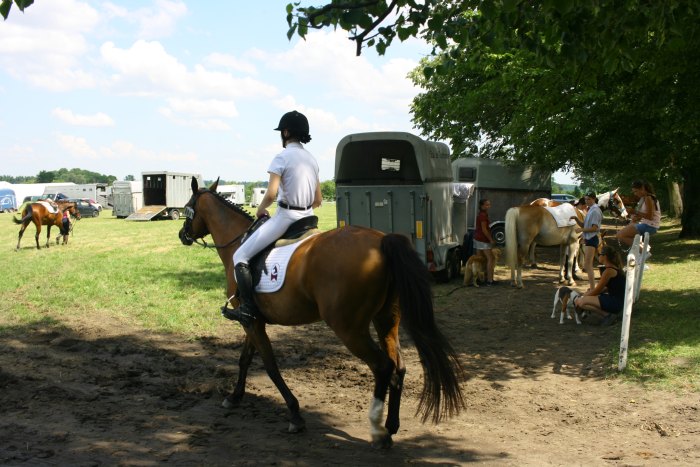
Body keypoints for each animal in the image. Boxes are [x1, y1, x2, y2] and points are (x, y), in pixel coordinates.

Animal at [178, 178, 464, 448]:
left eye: (188, 208)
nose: (182, 235)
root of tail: (381, 241)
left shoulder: (252, 323)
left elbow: (270, 366)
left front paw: (294, 414)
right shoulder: (252, 320)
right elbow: (245, 359)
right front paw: (235, 397)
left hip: (349, 330)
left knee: (383, 366)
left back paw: (376, 430)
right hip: (386, 320)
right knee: (399, 367)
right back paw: (391, 426)